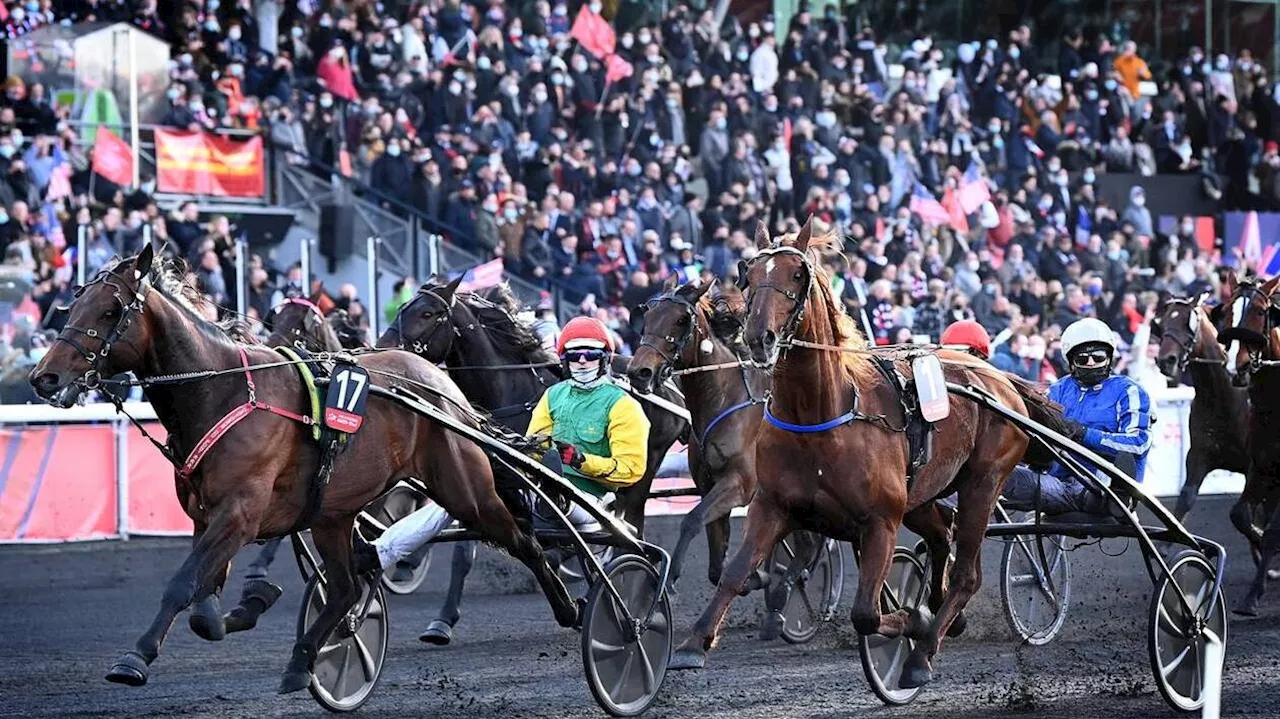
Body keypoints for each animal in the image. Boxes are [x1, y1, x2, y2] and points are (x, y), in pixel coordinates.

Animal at [30, 245, 581, 690]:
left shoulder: (240, 513)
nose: (44, 377)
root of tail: (441, 385)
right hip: (334, 513)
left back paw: (572, 608)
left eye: (110, 309)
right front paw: (250, 601)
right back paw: (302, 661)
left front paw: (135, 658)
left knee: (524, 541)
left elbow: (182, 586)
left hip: (463, 488)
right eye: (72, 304)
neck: (220, 390)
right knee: (345, 587)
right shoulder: (208, 518)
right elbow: (204, 606)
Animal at [373, 277, 686, 639]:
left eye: (427, 313)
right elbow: (467, 546)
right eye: (402, 307)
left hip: (646, 466)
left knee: (629, 523)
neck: (508, 393)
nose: (382, 348)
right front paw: (441, 619)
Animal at [670, 214, 1049, 685]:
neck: (819, 416)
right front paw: (693, 643)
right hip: (921, 494)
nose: (760, 338)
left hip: (983, 481)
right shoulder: (771, 505)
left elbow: (867, 612)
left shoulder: (881, 521)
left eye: (797, 275)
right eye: (747, 274)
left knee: (967, 574)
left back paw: (923, 654)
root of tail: (999, 379)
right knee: (941, 531)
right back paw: (944, 613)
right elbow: (735, 573)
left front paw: (914, 621)